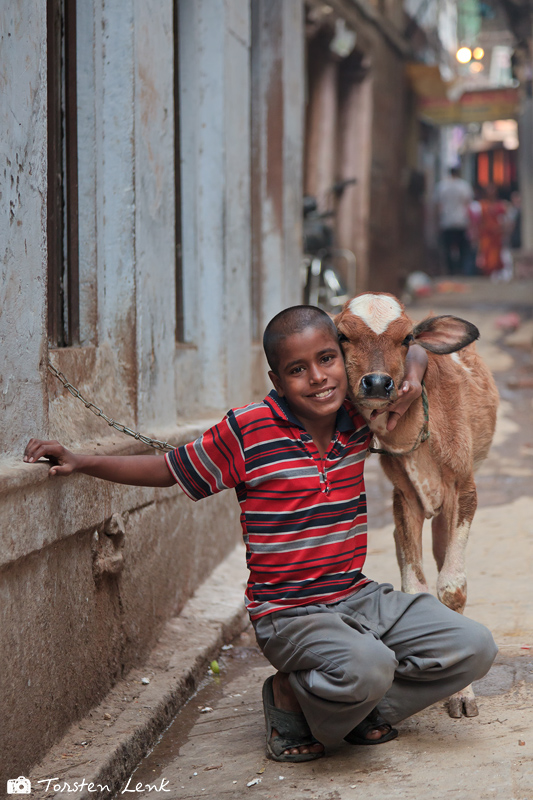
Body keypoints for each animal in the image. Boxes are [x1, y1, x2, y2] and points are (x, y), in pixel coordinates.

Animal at [336, 290, 498, 716]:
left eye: (408, 338)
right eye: (341, 335)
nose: (378, 383)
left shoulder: (465, 490)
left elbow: (452, 589)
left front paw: (462, 693)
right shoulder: (404, 499)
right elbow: (417, 589)